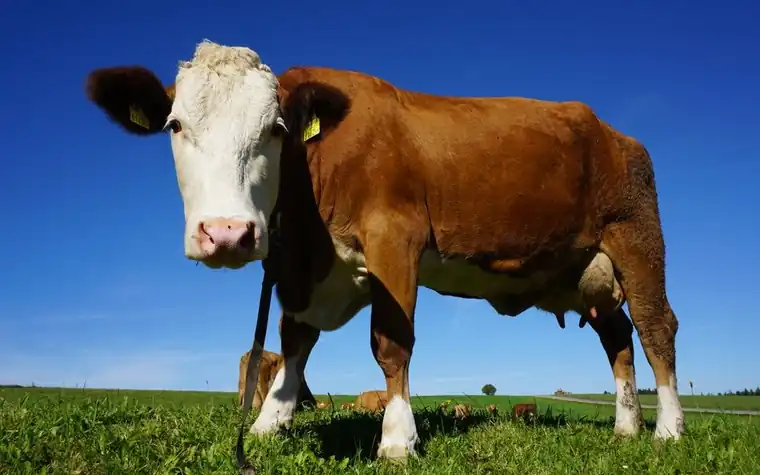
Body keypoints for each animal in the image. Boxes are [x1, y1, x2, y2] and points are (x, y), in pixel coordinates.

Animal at [84, 39, 684, 461]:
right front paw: (267, 425)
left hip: (635, 238)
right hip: (583, 270)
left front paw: (398, 438)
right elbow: (294, 342)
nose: (228, 233)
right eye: (174, 125)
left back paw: (668, 430)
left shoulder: (395, 238)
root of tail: (615, 134)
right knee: (617, 338)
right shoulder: (304, 271)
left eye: (275, 129)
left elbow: (390, 343)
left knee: (656, 329)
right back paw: (626, 428)